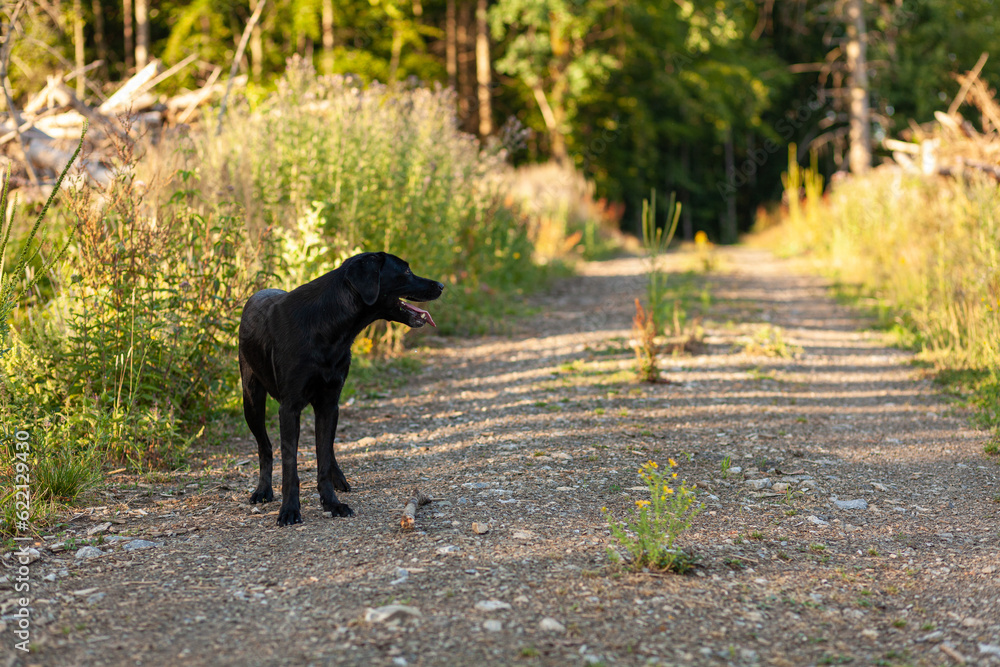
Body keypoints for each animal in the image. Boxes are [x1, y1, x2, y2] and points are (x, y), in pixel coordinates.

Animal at [238, 253, 442, 524]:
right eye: (406, 271)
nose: (441, 285)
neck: (327, 325)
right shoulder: (289, 407)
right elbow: (290, 464)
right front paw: (289, 510)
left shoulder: (329, 402)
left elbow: (324, 458)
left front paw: (332, 503)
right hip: (251, 400)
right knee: (265, 447)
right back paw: (262, 490)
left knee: (327, 449)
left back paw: (337, 479)